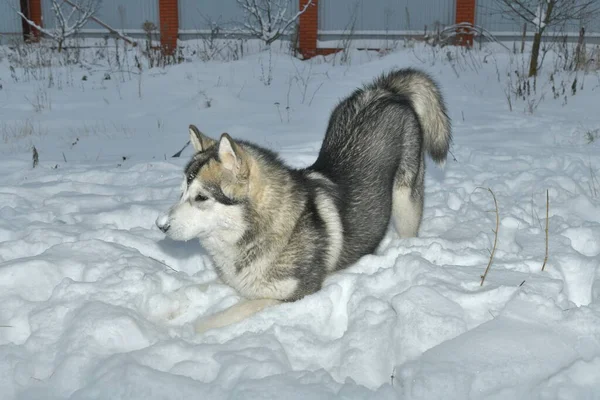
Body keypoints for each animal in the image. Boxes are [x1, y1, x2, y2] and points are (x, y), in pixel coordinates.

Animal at [156, 68, 450, 332]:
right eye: (182, 192)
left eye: (201, 197)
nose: (160, 225)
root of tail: (384, 90)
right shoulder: (233, 281)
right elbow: (191, 291)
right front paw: (163, 309)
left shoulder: (292, 294)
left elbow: (216, 318)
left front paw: (187, 330)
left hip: (405, 204)